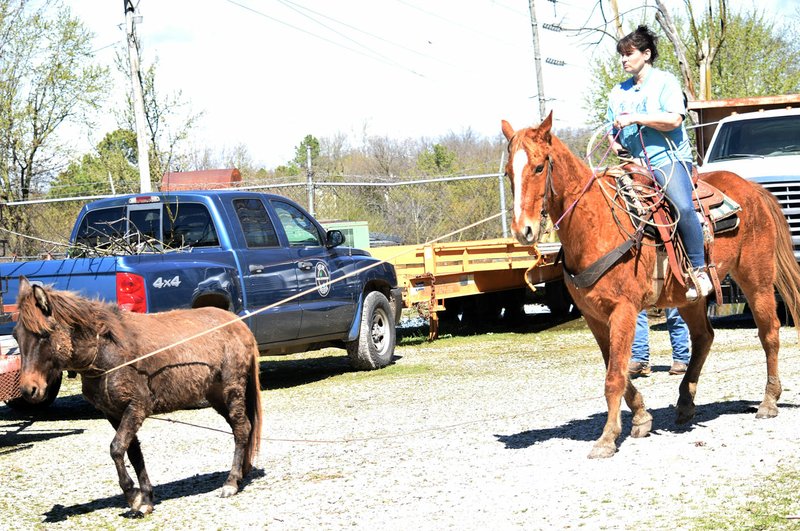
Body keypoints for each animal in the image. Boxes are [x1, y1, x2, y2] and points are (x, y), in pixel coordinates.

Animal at [14, 278, 262, 516]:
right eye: (17, 336)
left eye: (44, 334)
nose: (28, 390)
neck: (108, 353)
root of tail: (239, 324)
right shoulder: (114, 413)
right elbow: (133, 453)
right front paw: (146, 500)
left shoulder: (136, 407)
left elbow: (116, 448)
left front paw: (132, 496)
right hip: (217, 396)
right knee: (241, 429)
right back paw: (242, 472)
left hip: (232, 389)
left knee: (241, 429)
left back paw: (231, 482)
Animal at [504, 114, 796, 460]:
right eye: (508, 172)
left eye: (538, 167)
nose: (523, 230)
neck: (596, 224)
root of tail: (754, 189)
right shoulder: (594, 316)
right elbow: (615, 368)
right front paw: (642, 417)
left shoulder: (624, 311)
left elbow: (613, 377)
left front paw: (607, 439)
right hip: (688, 297)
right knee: (704, 337)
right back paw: (685, 403)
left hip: (757, 278)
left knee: (769, 332)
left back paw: (769, 401)